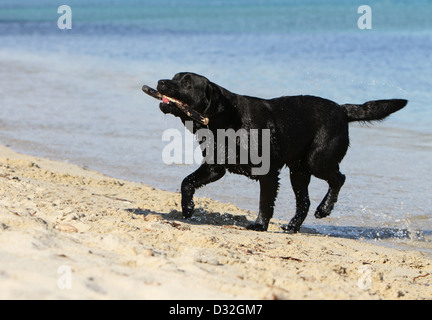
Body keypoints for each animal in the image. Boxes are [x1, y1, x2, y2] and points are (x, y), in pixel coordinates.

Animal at [157, 72, 406, 232]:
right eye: (174, 77)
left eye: (187, 82)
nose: (160, 82)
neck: (227, 122)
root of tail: (342, 109)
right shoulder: (214, 167)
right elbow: (186, 182)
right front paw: (187, 208)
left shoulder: (267, 173)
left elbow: (265, 202)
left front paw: (259, 225)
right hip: (298, 172)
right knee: (304, 202)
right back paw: (293, 226)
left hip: (318, 160)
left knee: (339, 178)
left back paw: (324, 209)